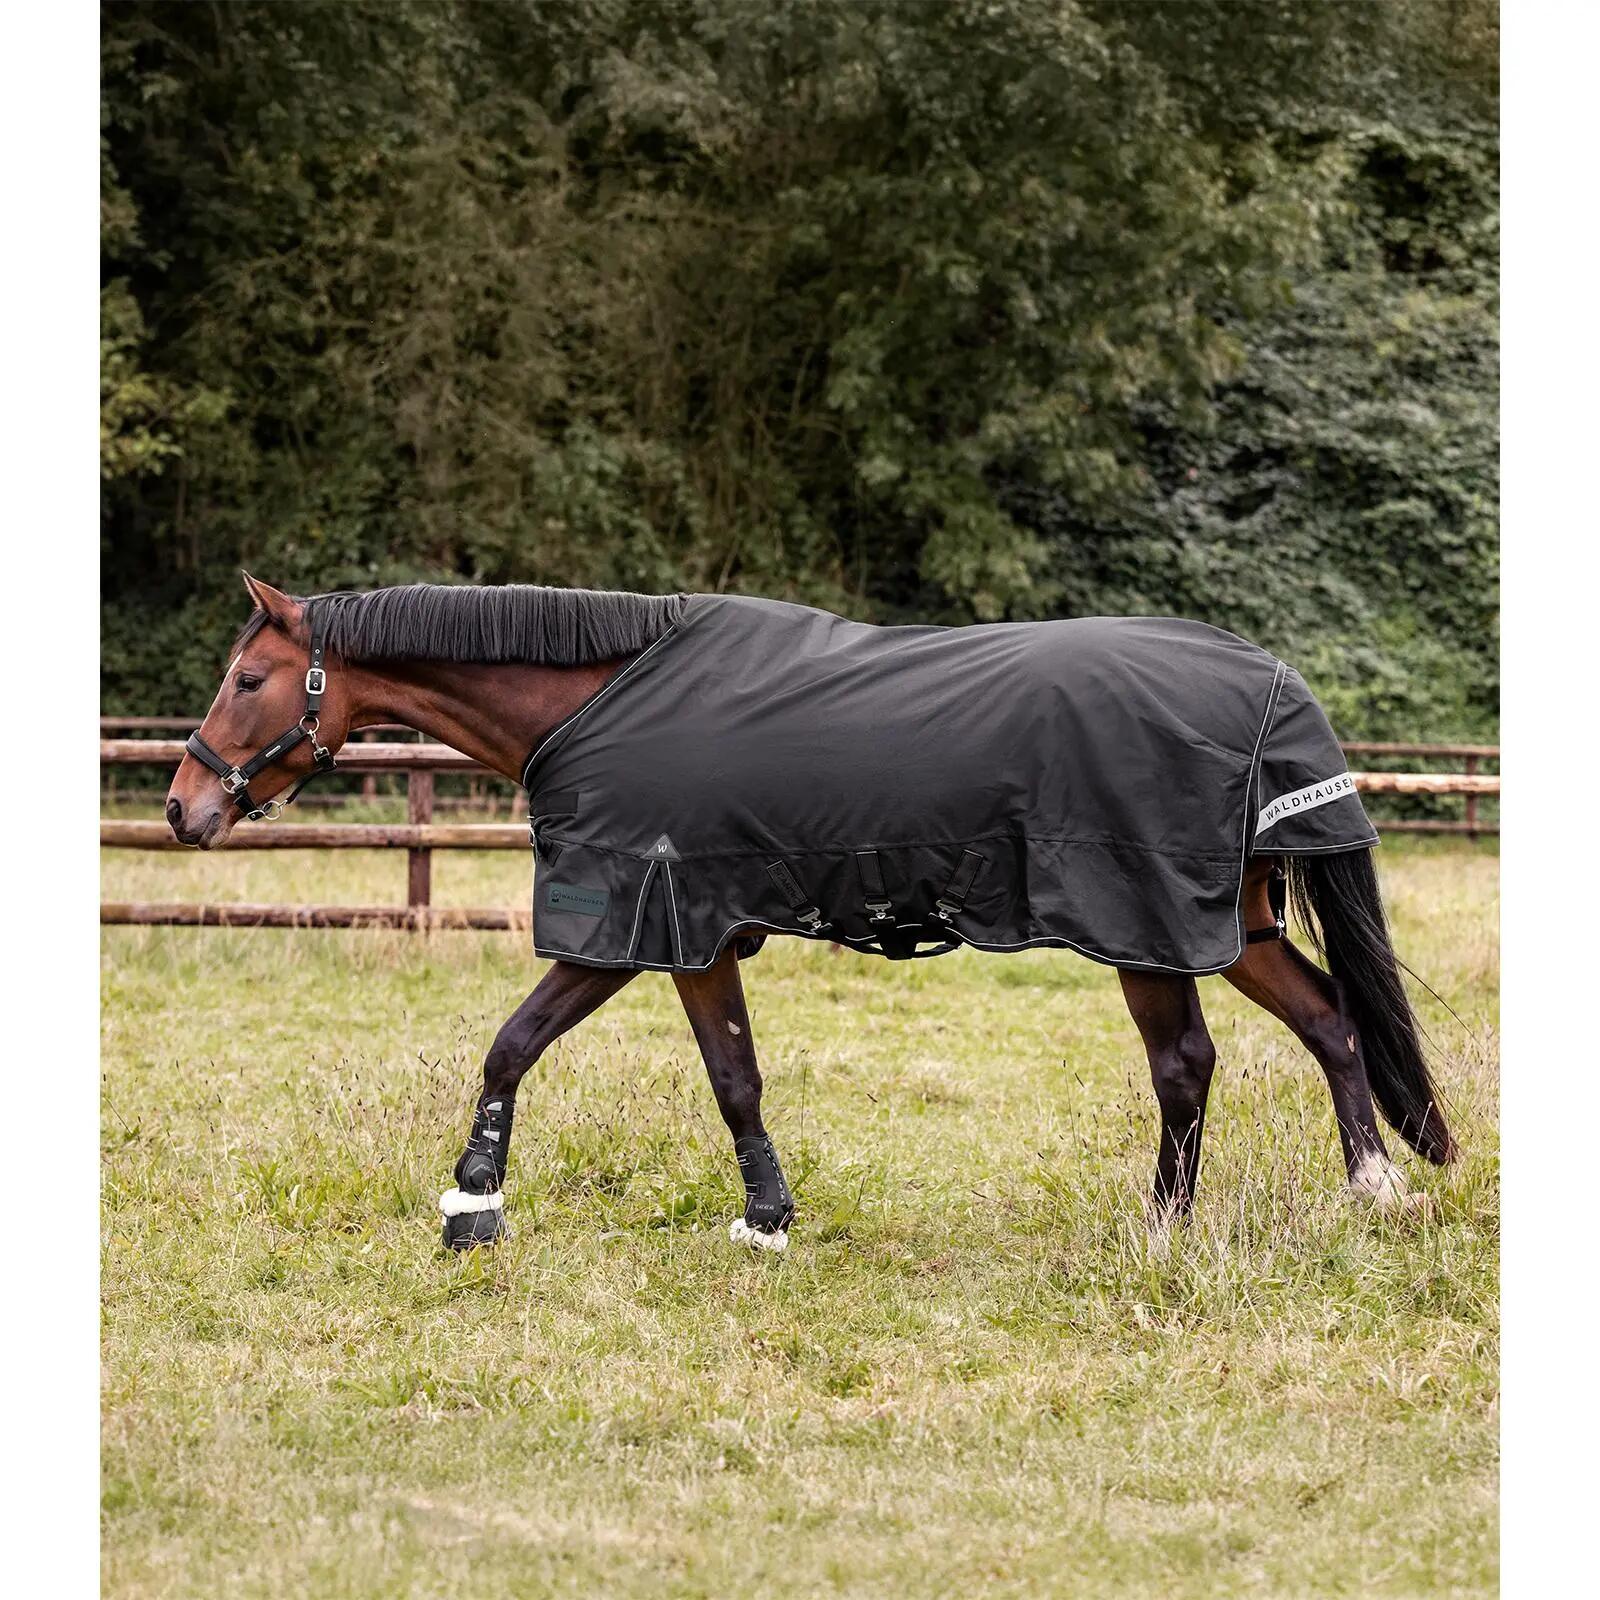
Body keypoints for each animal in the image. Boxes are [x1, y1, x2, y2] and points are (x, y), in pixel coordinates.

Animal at [164, 575, 1454, 1251]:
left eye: (245, 679)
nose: (183, 806)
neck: (597, 699)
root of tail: (1267, 681)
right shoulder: (695, 936)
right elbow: (728, 1075)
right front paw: (766, 1216)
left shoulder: (638, 926)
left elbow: (517, 1043)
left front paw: (472, 1201)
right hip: (1232, 926)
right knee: (1331, 1021)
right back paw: (1371, 1188)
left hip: (1149, 926)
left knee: (1186, 1063)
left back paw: (1163, 1228)